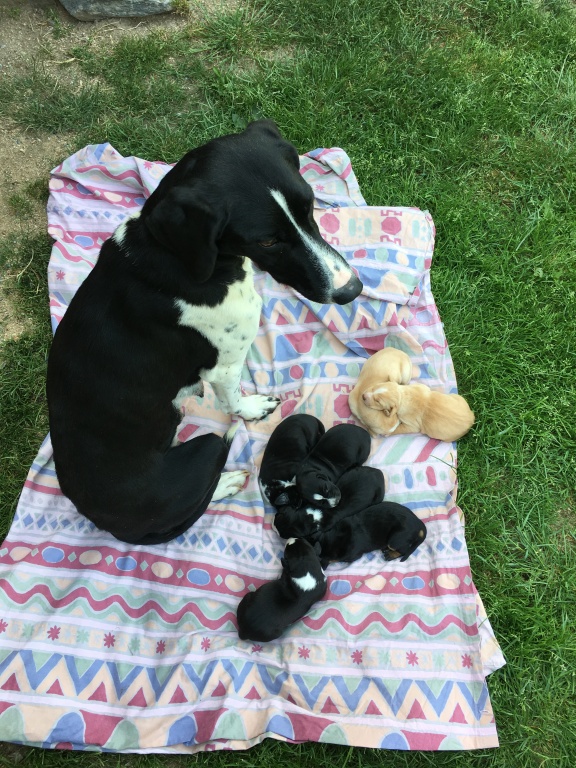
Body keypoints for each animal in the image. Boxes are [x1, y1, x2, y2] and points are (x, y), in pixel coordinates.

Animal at [46, 120, 363, 545]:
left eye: (309, 205)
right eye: (267, 239)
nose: (351, 290)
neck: (175, 258)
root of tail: (107, 524)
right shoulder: (225, 365)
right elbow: (233, 401)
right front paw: (250, 409)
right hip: (208, 445)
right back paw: (226, 481)